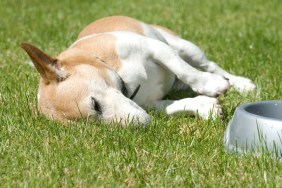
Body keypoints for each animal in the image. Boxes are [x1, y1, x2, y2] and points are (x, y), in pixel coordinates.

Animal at [21, 15, 256, 125]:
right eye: (93, 126)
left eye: (95, 105)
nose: (138, 127)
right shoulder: (151, 103)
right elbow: (173, 106)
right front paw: (206, 108)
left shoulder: (155, 48)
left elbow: (183, 69)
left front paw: (211, 85)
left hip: (184, 46)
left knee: (208, 65)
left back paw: (240, 83)